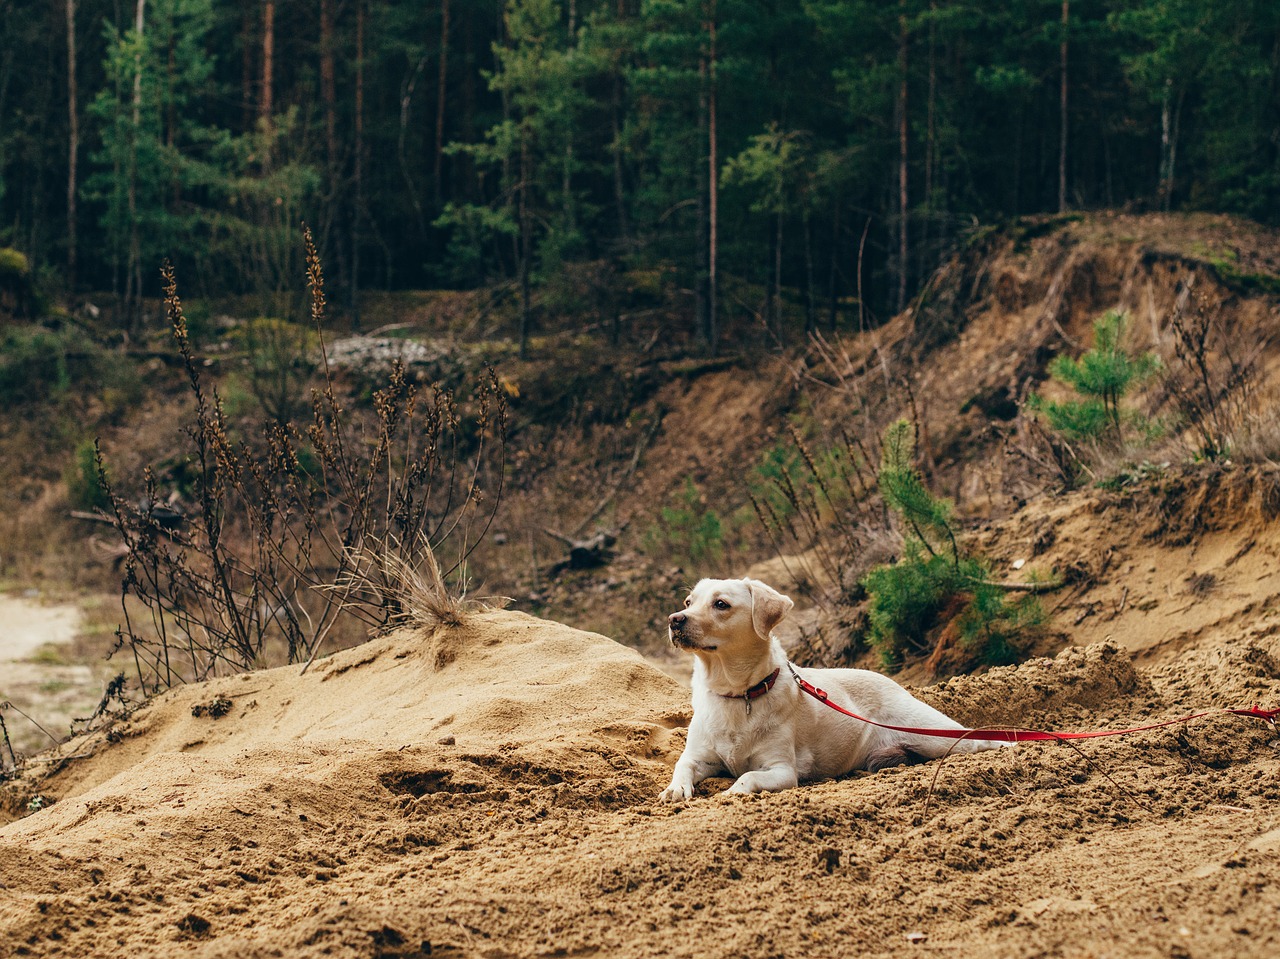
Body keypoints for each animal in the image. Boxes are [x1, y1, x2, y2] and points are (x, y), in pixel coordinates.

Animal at [665, 578, 1003, 798]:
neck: (738, 694)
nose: (674, 620)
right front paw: (675, 789)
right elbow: (681, 767)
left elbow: (748, 777)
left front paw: (732, 791)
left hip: (930, 733)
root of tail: (891, 681)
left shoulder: (782, 770)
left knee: (974, 739)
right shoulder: (698, 756)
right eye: (688, 603)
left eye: (721, 604)